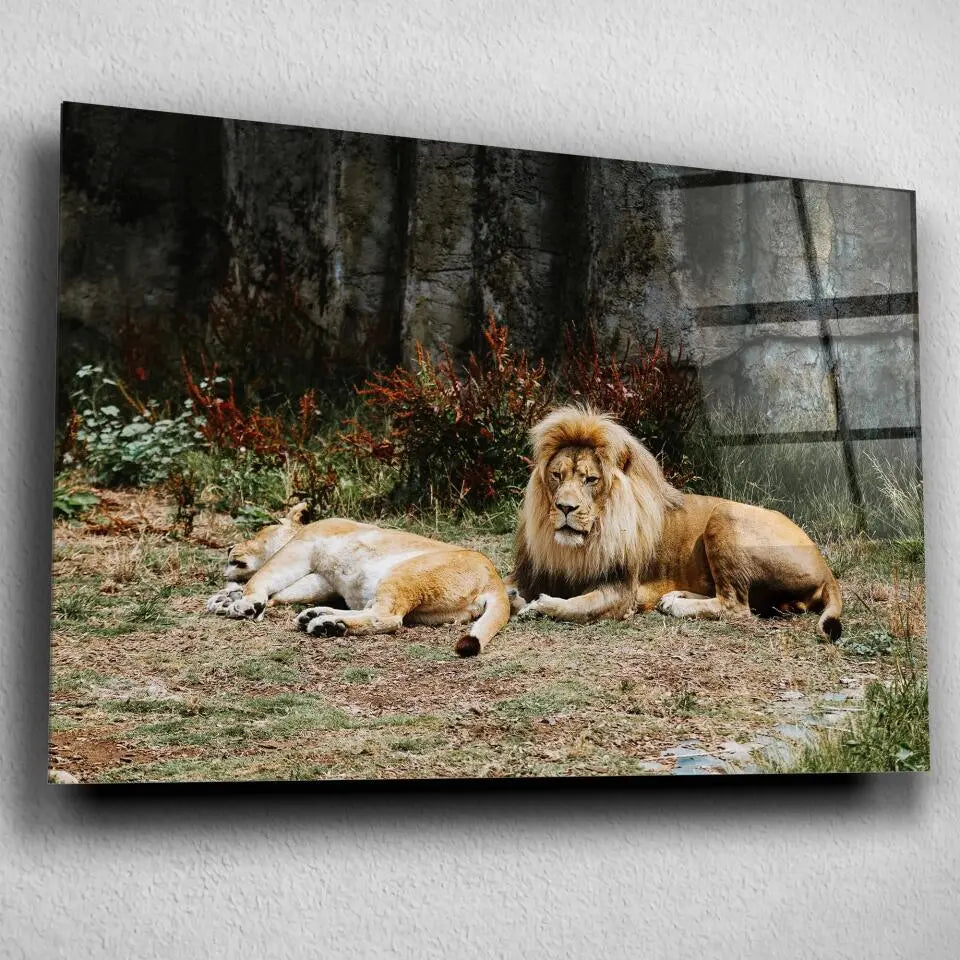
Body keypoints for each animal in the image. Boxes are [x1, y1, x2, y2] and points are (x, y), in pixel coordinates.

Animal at [206, 503, 510, 656]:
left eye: (256, 532)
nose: (229, 548)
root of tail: (495, 580)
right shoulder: (321, 579)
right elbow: (281, 592)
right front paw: (225, 599)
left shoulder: (300, 549)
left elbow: (261, 577)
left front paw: (245, 603)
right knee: (373, 611)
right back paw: (320, 618)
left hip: (404, 574)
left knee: (388, 618)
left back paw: (325, 625)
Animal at [510, 407, 843, 640]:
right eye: (557, 475)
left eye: (591, 479)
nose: (565, 507)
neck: (578, 546)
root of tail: (826, 568)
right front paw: (515, 599)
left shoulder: (622, 590)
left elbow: (577, 606)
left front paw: (537, 606)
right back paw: (674, 597)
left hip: (724, 516)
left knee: (735, 605)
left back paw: (677, 605)